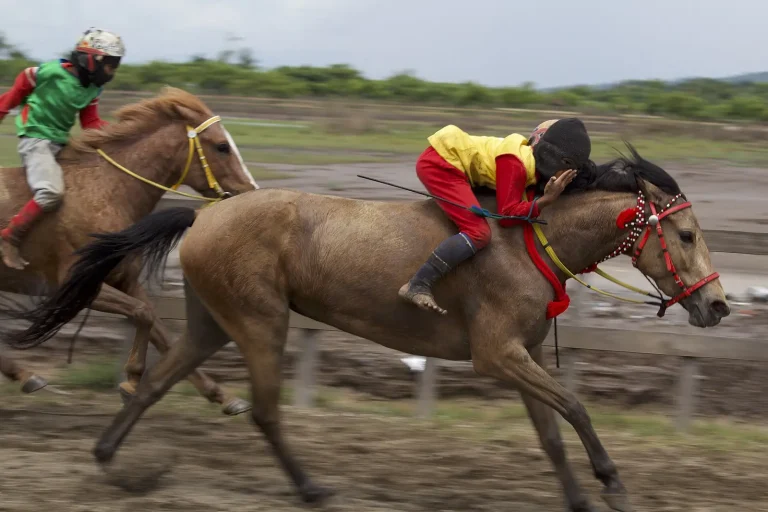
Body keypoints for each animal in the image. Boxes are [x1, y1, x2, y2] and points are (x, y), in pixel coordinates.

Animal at [0, 86, 257, 415]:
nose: (250, 192)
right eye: (222, 146)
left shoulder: (125, 279)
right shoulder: (79, 285)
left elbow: (161, 330)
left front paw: (222, 395)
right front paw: (132, 380)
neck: (108, 192)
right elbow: (143, 314)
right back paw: (25, 374)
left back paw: (25, 375)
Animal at [6, 145, 730, 511]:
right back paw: (310, 487)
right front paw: (612, 483)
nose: (720, 307)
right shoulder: (496, 354)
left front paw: (582, 495)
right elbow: (576, 405)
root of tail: (203, 214)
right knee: (265, 409)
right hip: (260, 318)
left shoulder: (520, 353)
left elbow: (552, 433)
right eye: (687, 235)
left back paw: (110, 458)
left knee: (158, 381)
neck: (531, 238)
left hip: (212, 321)